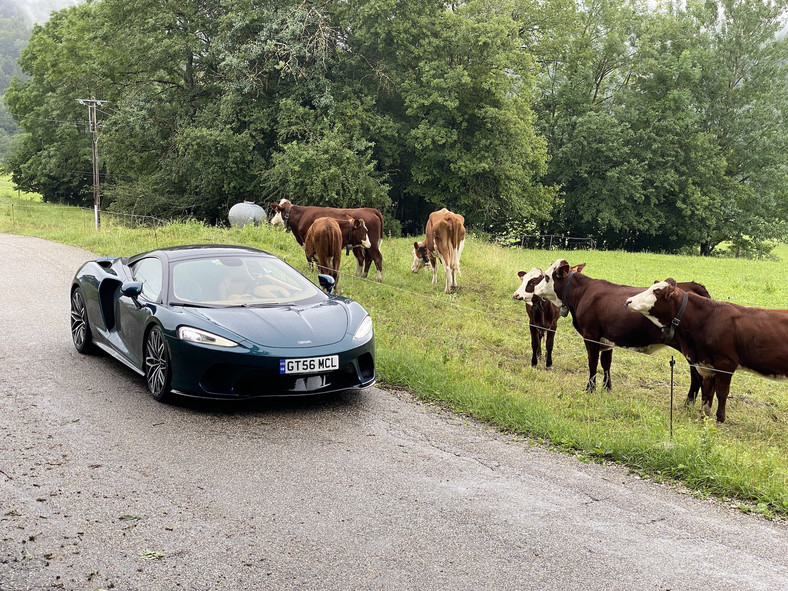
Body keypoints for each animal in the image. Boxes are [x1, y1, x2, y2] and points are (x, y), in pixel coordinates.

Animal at [532, 260, 712, 402]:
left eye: (547, 277)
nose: (534, 289)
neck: (583, 293)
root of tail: (691, 285)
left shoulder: (591, 336)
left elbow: (592, 363)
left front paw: (590, 389)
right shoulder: (607, 339)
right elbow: (606, 364)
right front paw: (607, 388)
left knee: (696, 377)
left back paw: (688, 403)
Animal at [628, 280, 788, 424]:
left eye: (656, 292)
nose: (629, 300)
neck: (707, 319)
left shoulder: (726, 363)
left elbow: (721, 392)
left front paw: (720, 419)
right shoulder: (706, 364)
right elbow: (707, 392)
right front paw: (703, 417)